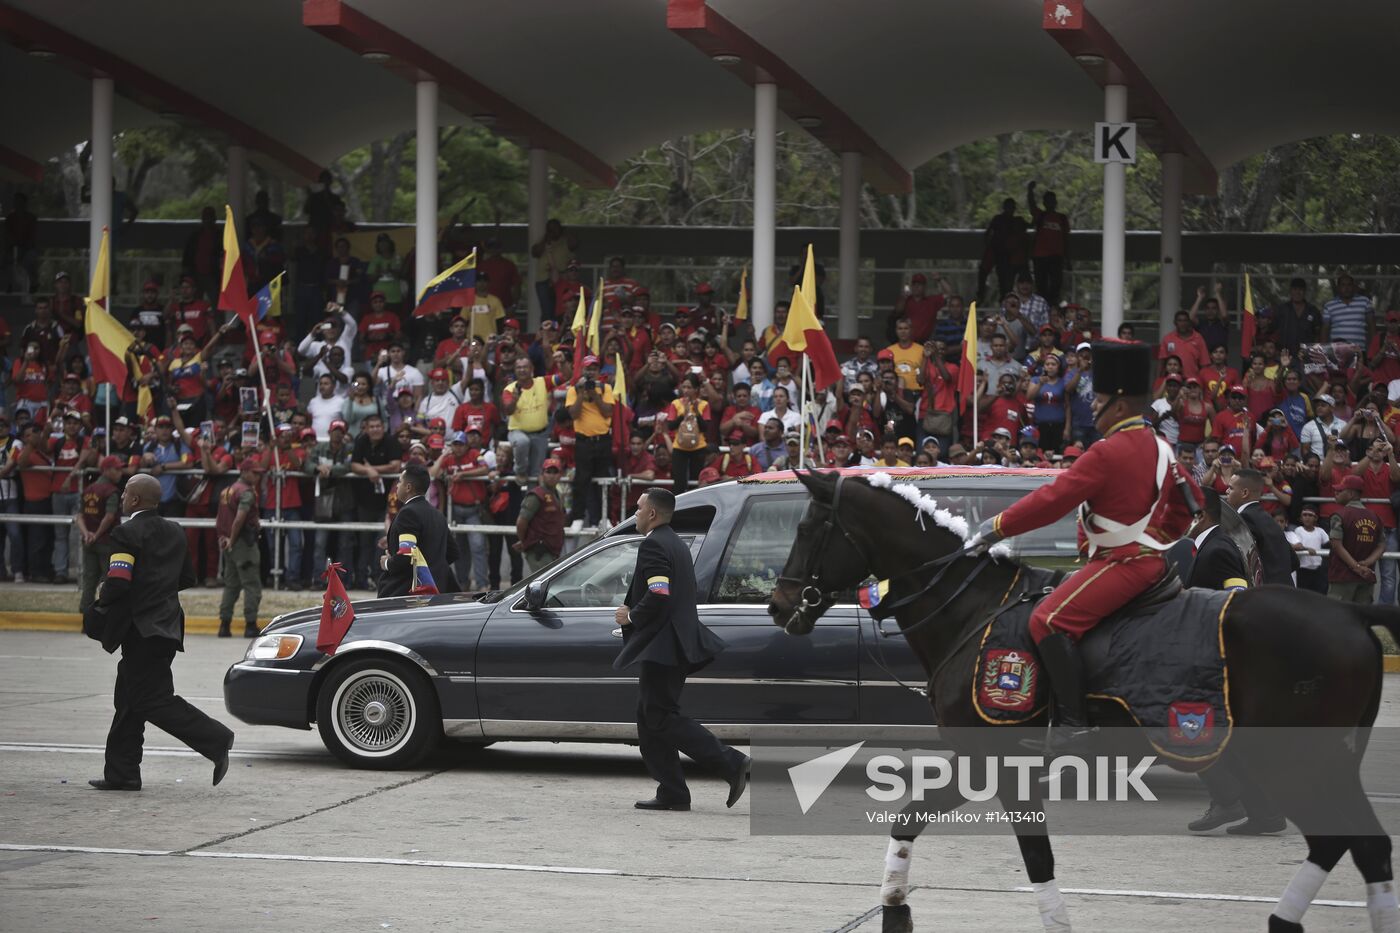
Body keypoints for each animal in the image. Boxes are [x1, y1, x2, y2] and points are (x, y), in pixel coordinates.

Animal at [772, 473, 1394, 930]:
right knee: (1364, 844)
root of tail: (1350, 614)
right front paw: (894, 906)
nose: (779, 605)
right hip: (1325, 763)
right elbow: (908, 821)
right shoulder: (979, 760)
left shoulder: (1000, 762)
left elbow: (1036, 858)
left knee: (1343, 838)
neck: (972, 611)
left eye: (807, 527)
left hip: (1296, 760)